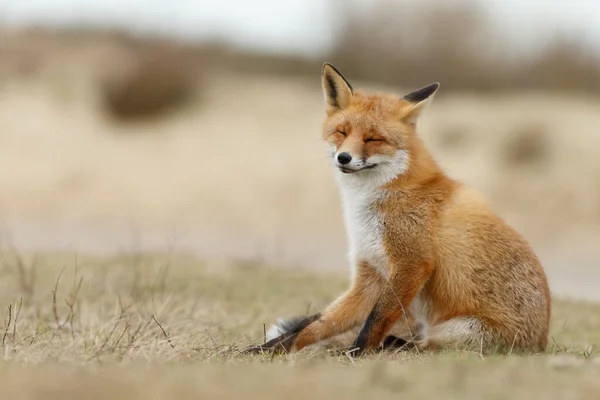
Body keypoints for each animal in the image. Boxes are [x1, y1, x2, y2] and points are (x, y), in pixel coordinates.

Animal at [246, 62, 552, 356]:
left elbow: (375, 320)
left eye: (373, 139)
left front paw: (356, 353)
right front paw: (266, 350)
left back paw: (390, 346)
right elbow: (315, 324)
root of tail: (541, 343)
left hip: (456, 330)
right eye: (341, 132)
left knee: (424, 345)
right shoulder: (370, 273)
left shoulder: (412, 263)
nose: (343, 157)